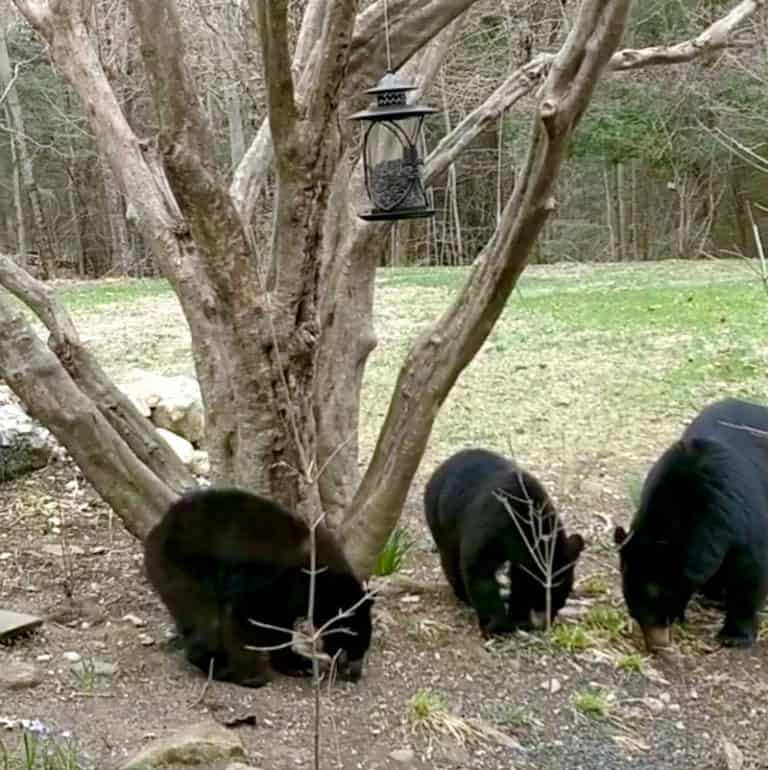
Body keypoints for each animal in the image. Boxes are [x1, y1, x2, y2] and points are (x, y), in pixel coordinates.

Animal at [144, 487, 373, 687]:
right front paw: (253, 673)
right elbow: (248, 617)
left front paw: (299, 664)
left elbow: (279, 624)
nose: (355, 673)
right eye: (356, 639)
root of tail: (158, 528)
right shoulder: (265, 580)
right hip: (186, 569)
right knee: (205, 618)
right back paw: (221, 667)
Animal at [424, 448, 585, 636]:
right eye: (544, 597)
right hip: (441, 520)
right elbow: (478, 569)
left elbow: (519, 579)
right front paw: (497, 624)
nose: (547, 623)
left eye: (561, 598)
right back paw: (463, 595)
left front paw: (519, 616)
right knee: (450, 558)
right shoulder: (491, 525)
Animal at [614, 397, 768, 652]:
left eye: (659, 605)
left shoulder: (745, 518)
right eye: (633, 608)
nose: (656, 644)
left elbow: (749, 574)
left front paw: (734, 635)